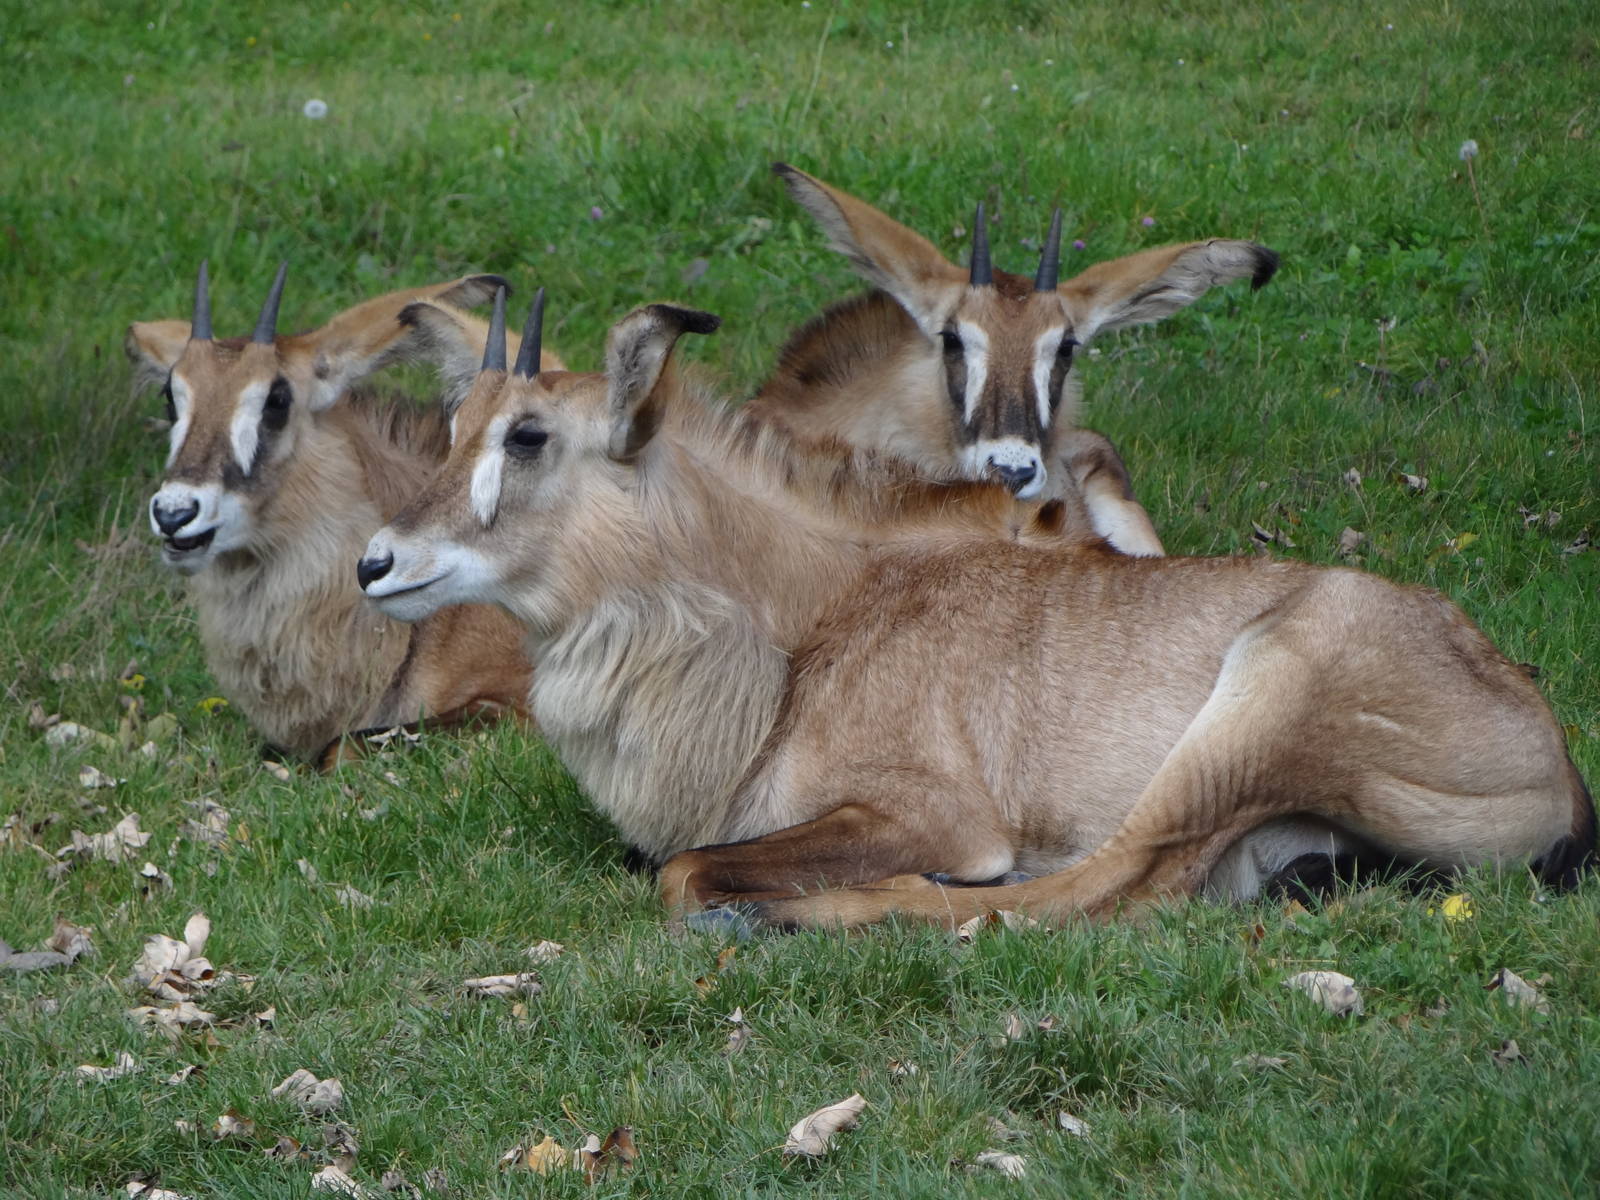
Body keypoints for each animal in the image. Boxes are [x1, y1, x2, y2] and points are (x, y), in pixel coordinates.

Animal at [357, 296, 1594, 931]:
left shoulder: (930, 809)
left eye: (529, 434)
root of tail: (1554, 757)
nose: (375, 562)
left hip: (1263, 697)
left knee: (1090, 891)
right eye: (456, 422)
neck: (803, 628)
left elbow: (688, 868)